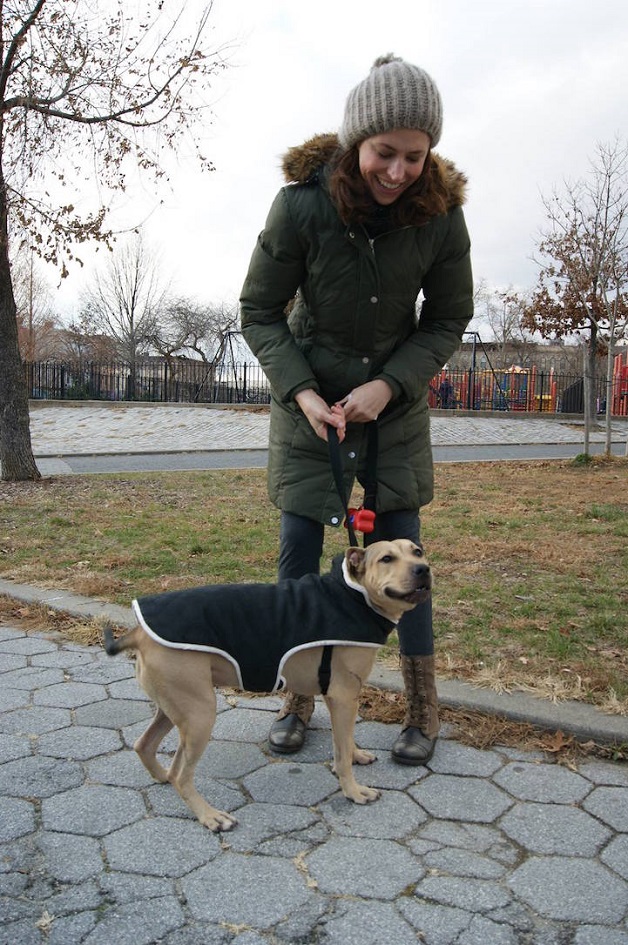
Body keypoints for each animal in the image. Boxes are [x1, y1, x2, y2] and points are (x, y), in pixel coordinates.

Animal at [104, 544, 426, 828]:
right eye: (386, 558)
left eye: (417, 551)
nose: (423, 569)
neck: (352, 594)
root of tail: (139, 634)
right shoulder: (343, 697)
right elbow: (342, 752)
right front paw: (353, 790)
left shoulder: (339, 699)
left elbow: (343, 741)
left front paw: (355, 754)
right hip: (199, 716)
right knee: (181, 774)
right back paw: (209, 816)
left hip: (175, 709)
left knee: (145, 745)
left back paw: (162, 777)